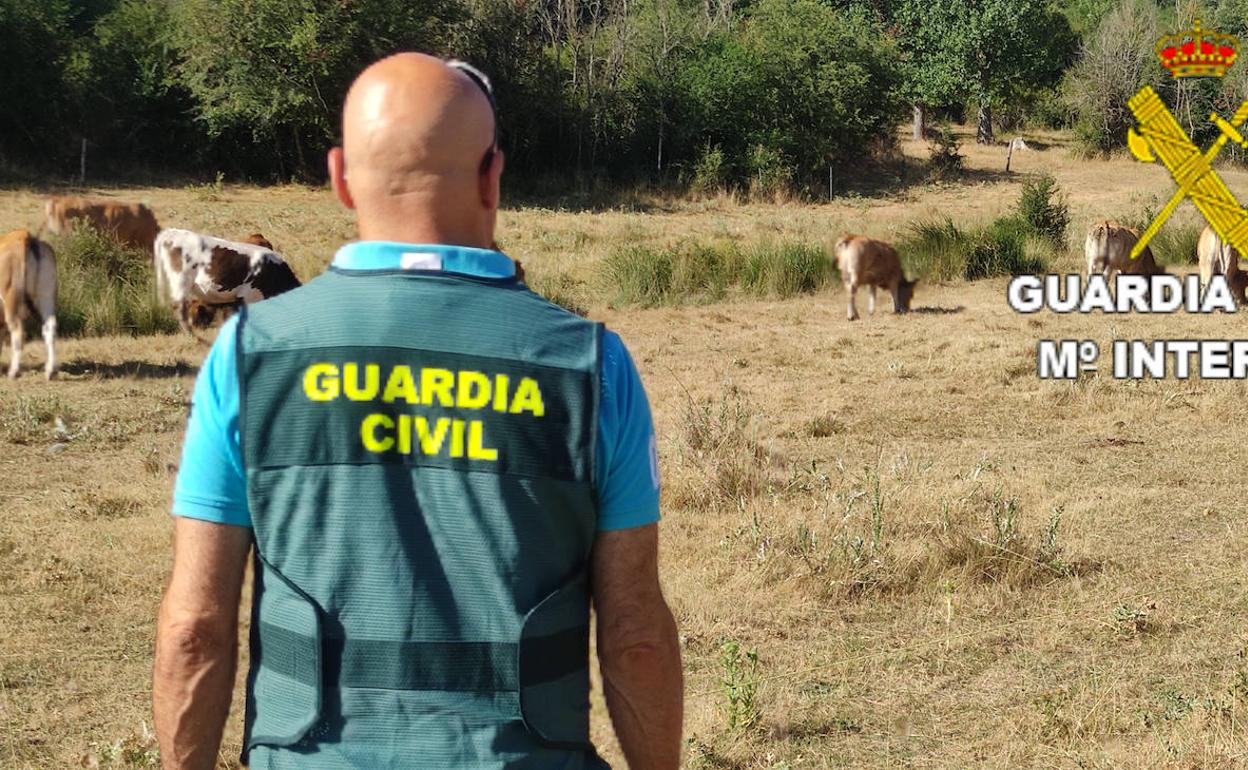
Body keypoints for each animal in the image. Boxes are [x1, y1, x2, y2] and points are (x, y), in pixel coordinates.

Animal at [0, 228, 58, 379]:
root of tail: (26, 236)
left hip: (11, 301)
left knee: (18, 331)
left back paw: (13, 372)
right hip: (45, 297)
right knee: (50, 327)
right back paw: (50, 371)